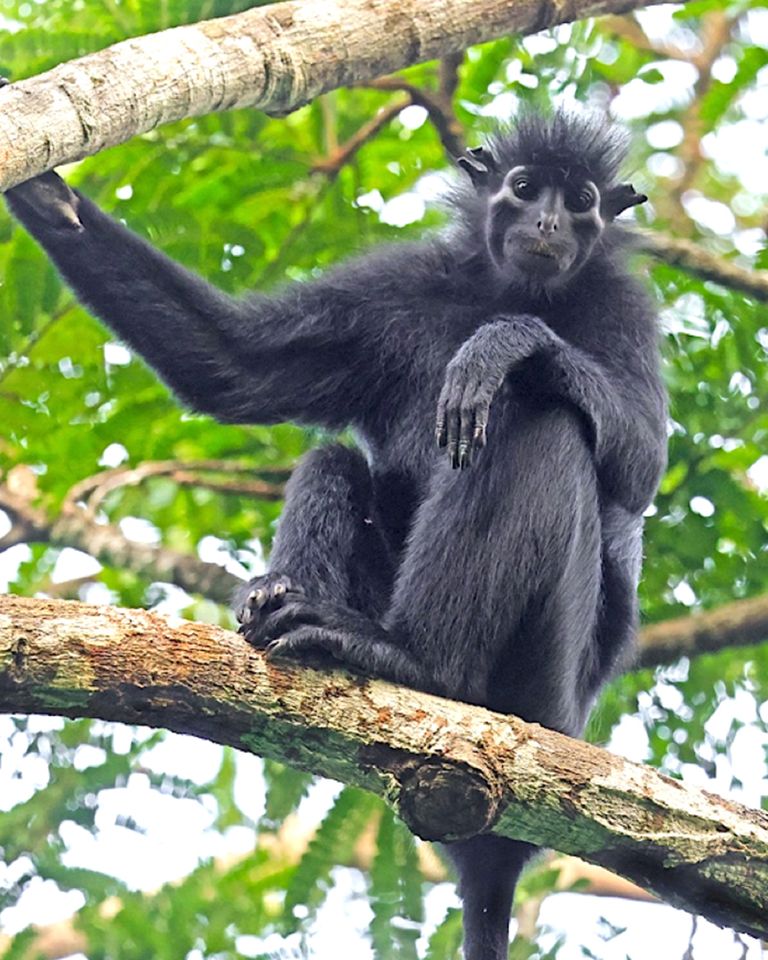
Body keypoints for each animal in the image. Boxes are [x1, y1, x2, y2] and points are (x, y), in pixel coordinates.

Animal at [5, 110, 667, 960]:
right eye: (525, 188)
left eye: (581, 199)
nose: (552, 221)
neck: (513, 287)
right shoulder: (400, 288)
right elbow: (233, 365)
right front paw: (48, 197)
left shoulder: (624, 306)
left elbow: (640, 460)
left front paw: (507, 343)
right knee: (335, 459)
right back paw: (293, 608)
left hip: (549, 681)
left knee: (536, 417)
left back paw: (417, 658)